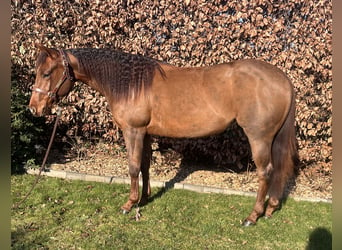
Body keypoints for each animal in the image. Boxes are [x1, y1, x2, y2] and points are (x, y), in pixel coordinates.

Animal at [28, 44, 296, 226]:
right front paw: (144, 198)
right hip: (272, 139)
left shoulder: (133, 131)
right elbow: (145, 165)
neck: (131, 84)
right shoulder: (145, 133)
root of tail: (282, 78)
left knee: (265, 172)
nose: (34, 108)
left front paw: (129, 204)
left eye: (47, 73)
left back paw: (253, 216)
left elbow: (133, 167)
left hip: (259, 137)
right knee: (277, 171)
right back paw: (270, 209)